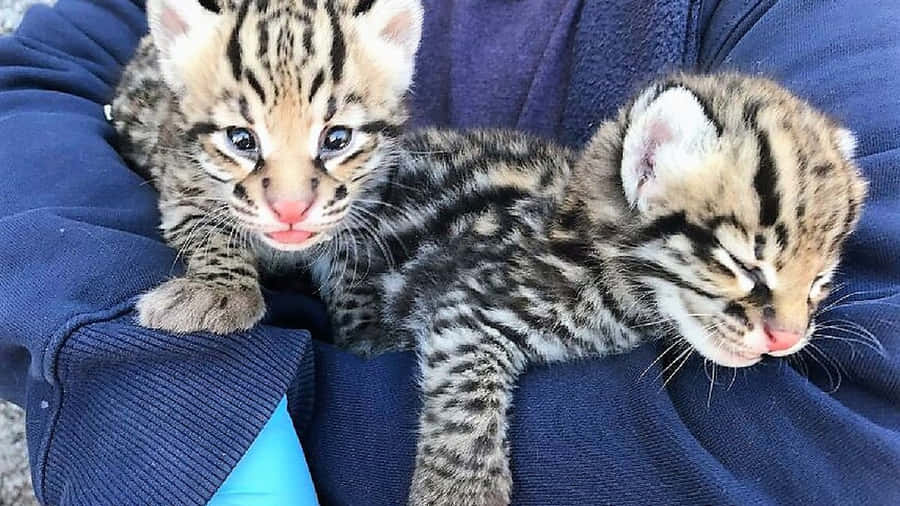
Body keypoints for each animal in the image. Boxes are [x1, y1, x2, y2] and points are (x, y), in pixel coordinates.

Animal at [109, 0, 868, 502]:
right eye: (743, 265)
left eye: (820, 281)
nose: (789, 338)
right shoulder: (469, 307)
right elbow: (466, 401)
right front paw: (457, 493)